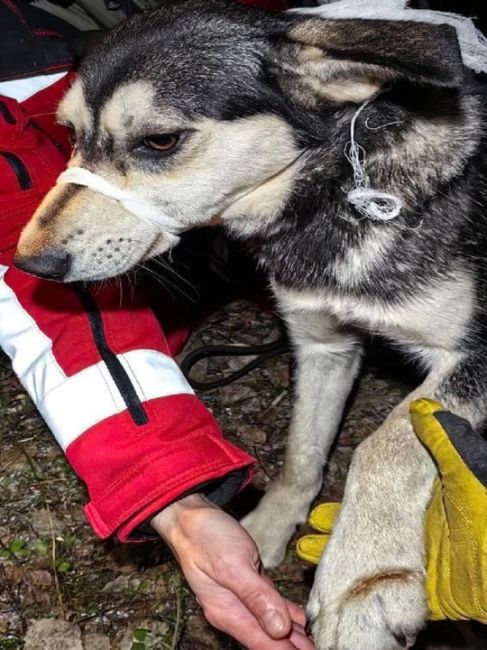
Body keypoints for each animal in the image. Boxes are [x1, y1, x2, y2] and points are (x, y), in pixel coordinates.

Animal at [13, 2, 486, 644]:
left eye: (160, 140)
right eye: (68, 134)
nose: (27, 263)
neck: (337, 188)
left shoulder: (472, 353)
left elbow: (388, 438)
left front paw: (364, 578)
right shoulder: (320, 343)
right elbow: (302, 453)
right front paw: (269, 530)